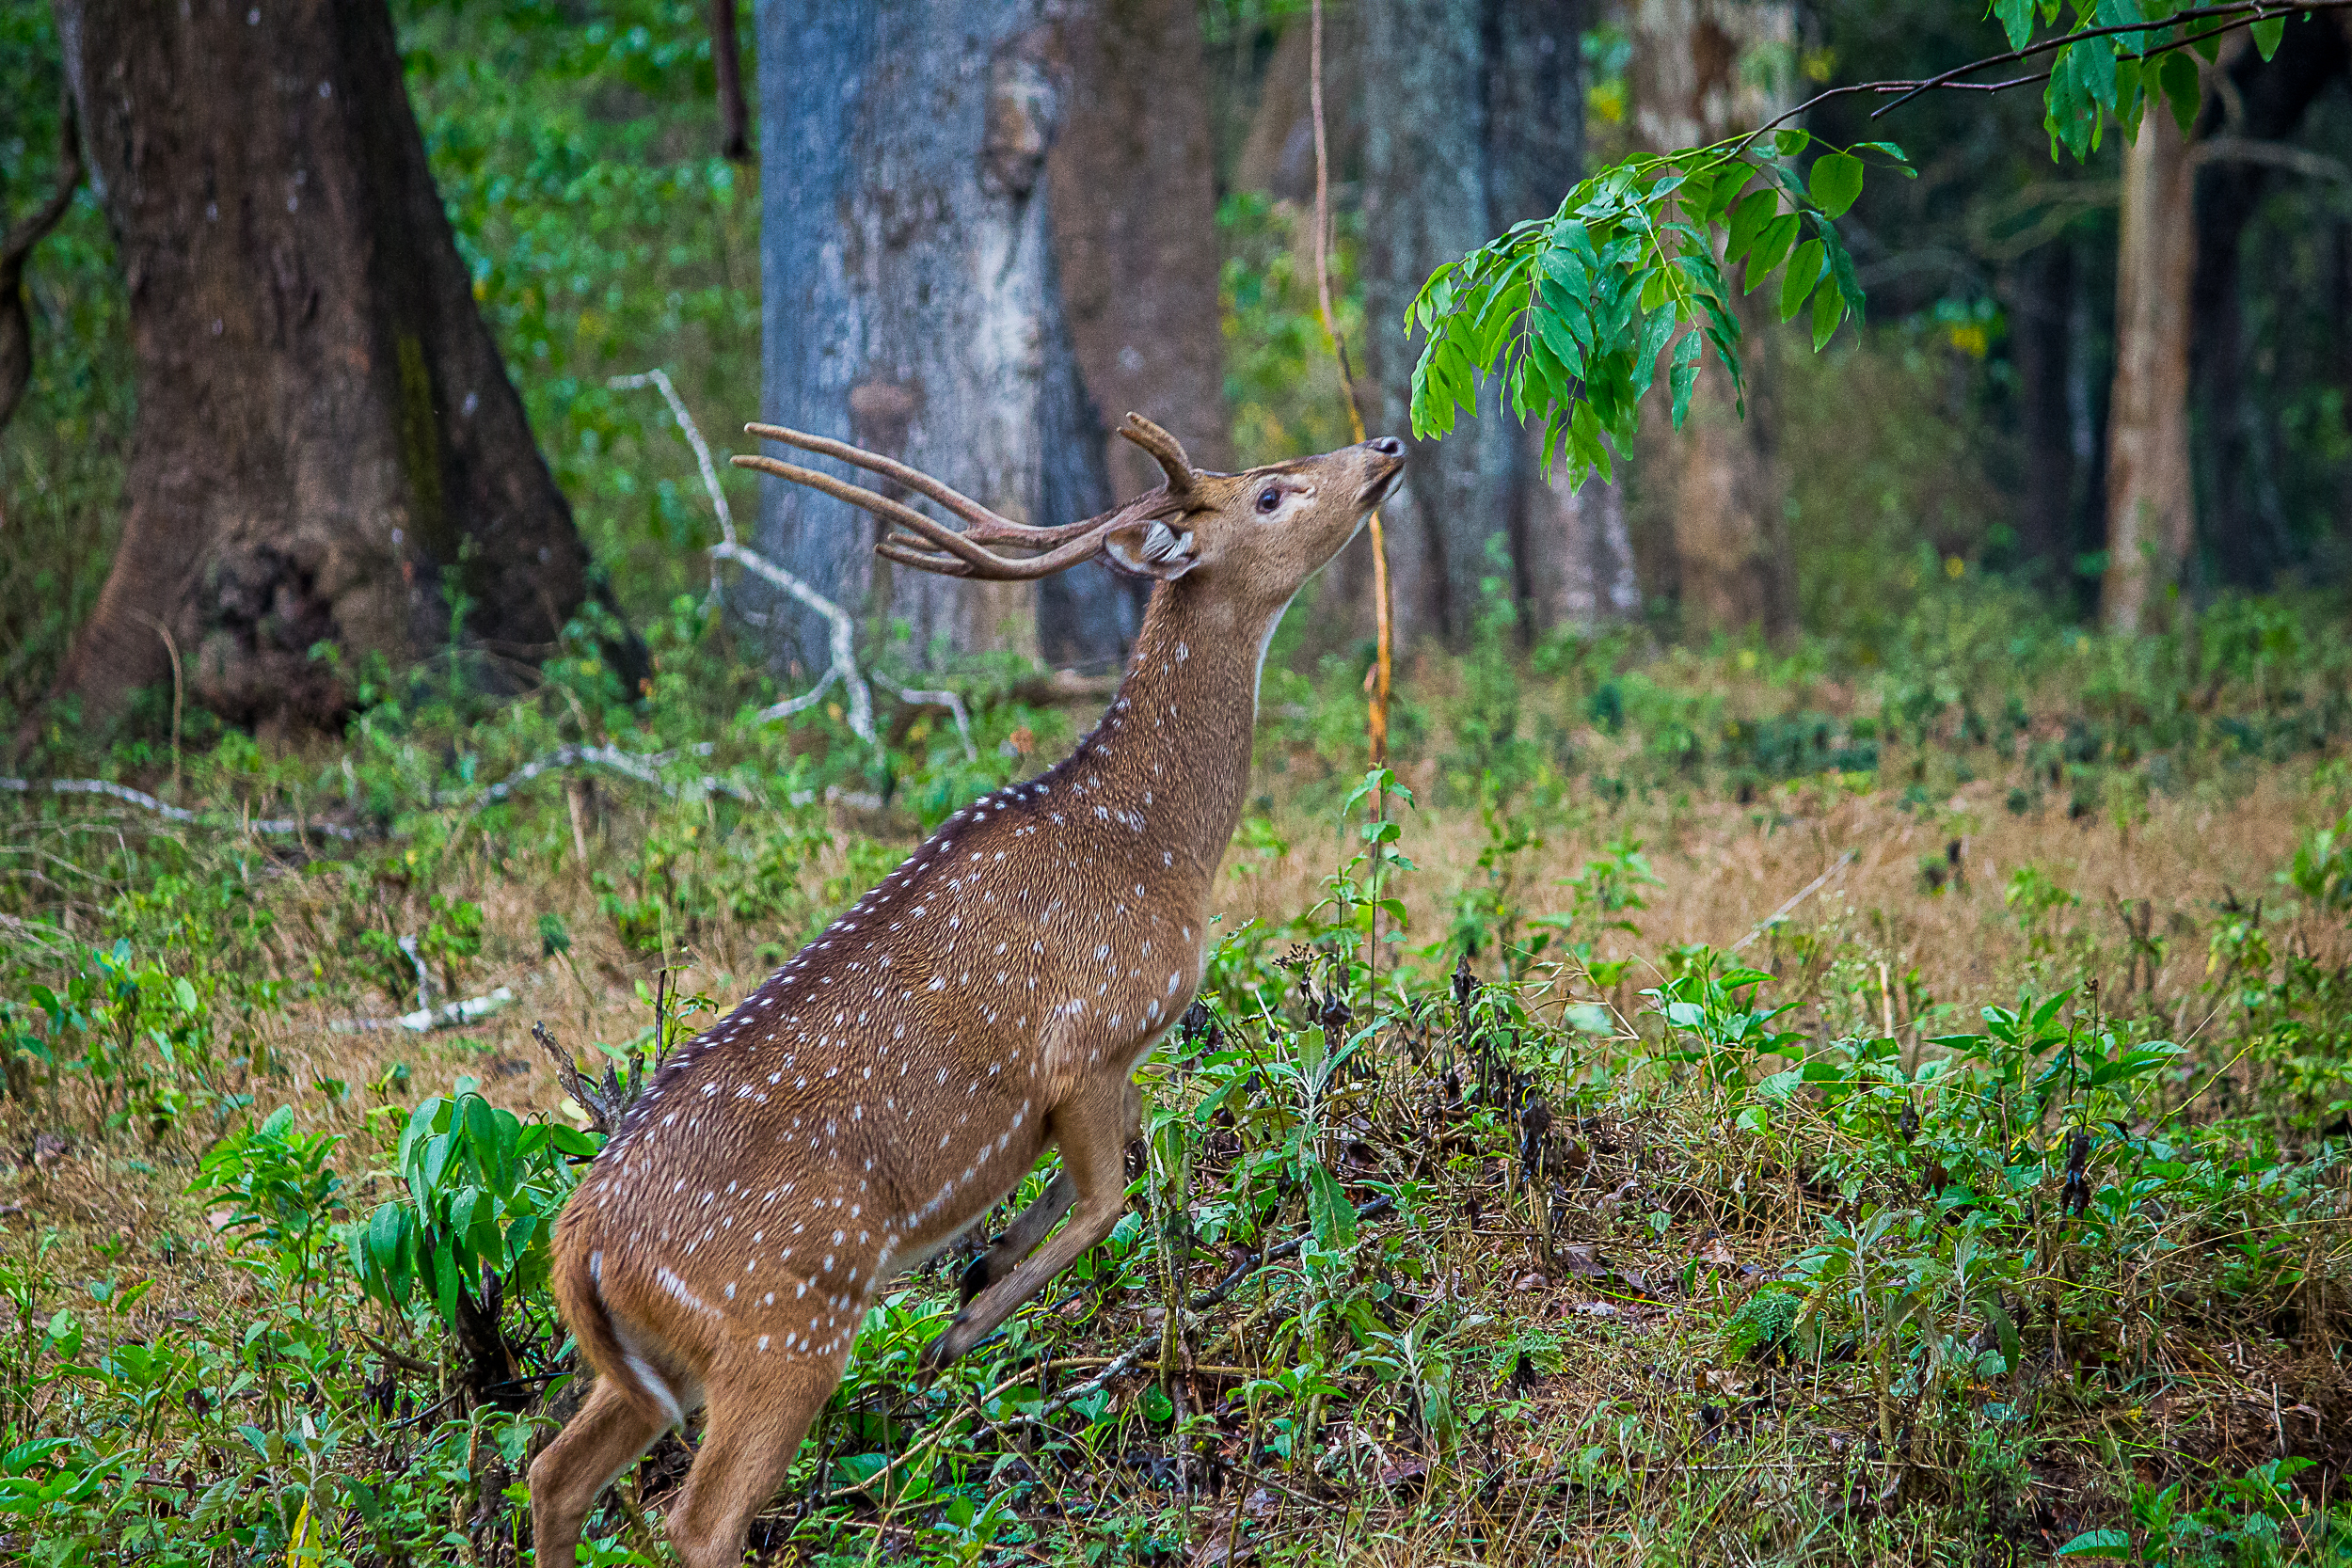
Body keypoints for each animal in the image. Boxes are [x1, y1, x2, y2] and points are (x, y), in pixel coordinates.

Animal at [533, 411, 1402, 1560]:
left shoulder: (1107, 1067)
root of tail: (578, 1244)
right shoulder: (1087, 1038)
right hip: (786, 1320)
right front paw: (965, 1323)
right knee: (698, 1516)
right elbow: (1109, 1198)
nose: (1387, 446)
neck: (1160, 851)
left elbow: (1114, 1167)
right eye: (1268, 493)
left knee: (552, 1471)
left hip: (656, 1360)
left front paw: (981, 1271)